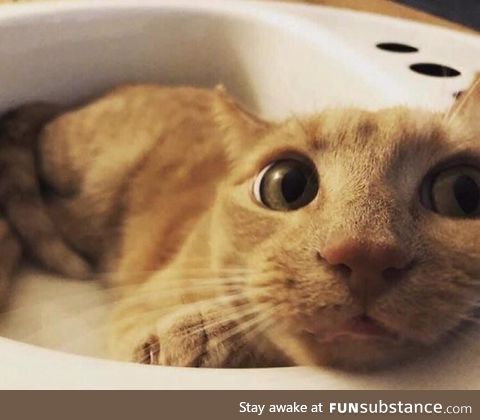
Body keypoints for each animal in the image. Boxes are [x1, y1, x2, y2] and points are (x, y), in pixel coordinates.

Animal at [0, 80, 480, 370]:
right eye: (286, 185)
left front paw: (204, 332)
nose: (364, 254)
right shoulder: (135, 312)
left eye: (462, 192)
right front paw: (199, 332)